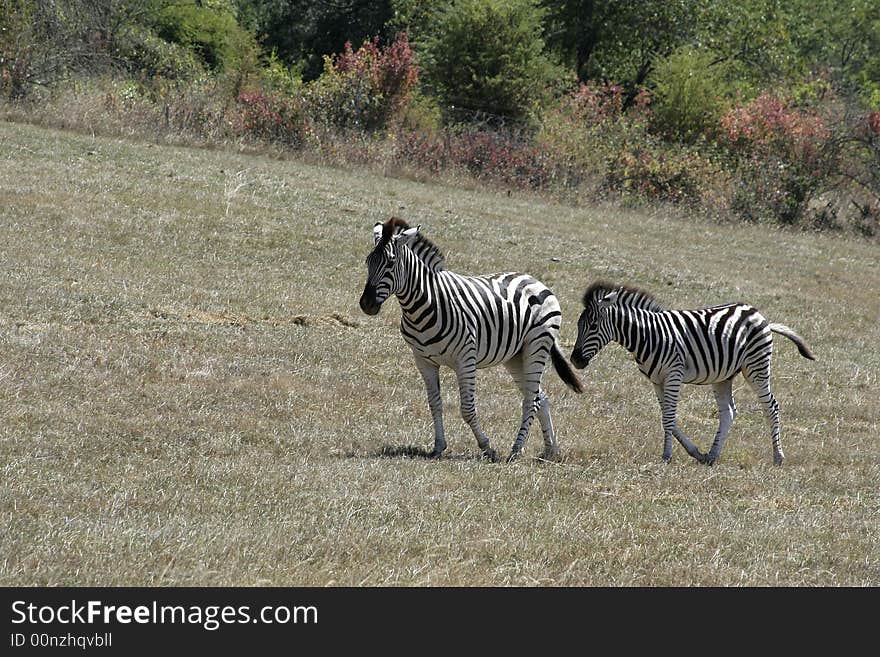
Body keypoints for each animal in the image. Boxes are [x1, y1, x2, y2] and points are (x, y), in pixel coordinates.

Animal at [358, 217, 584, 462]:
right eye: (368, 261)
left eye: (391, 262)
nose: (366, 304)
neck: (424, 305)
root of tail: (535, 280)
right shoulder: (423, 361)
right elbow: (434, 404)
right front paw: (438, 446)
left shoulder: (465, 359)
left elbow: (467, 409)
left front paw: (487, 447)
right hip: (516, 356)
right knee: (540, 397)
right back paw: (550, 449)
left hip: (537, 346)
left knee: (531, 401)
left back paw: (515, 450)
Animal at [568, 282, 816, 466]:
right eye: (579, 325)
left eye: (593, 325)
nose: (575, 360)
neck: (647, 335)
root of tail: (758, 313)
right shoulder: (656, 381)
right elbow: (667, 417)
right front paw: (695, 452)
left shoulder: (673, 375)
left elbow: (669, 417)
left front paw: (666, 456)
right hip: (723, 376)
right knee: (728, 412)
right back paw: (712, 455)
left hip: (756, 366)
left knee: (770, 406)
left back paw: (778, 457)